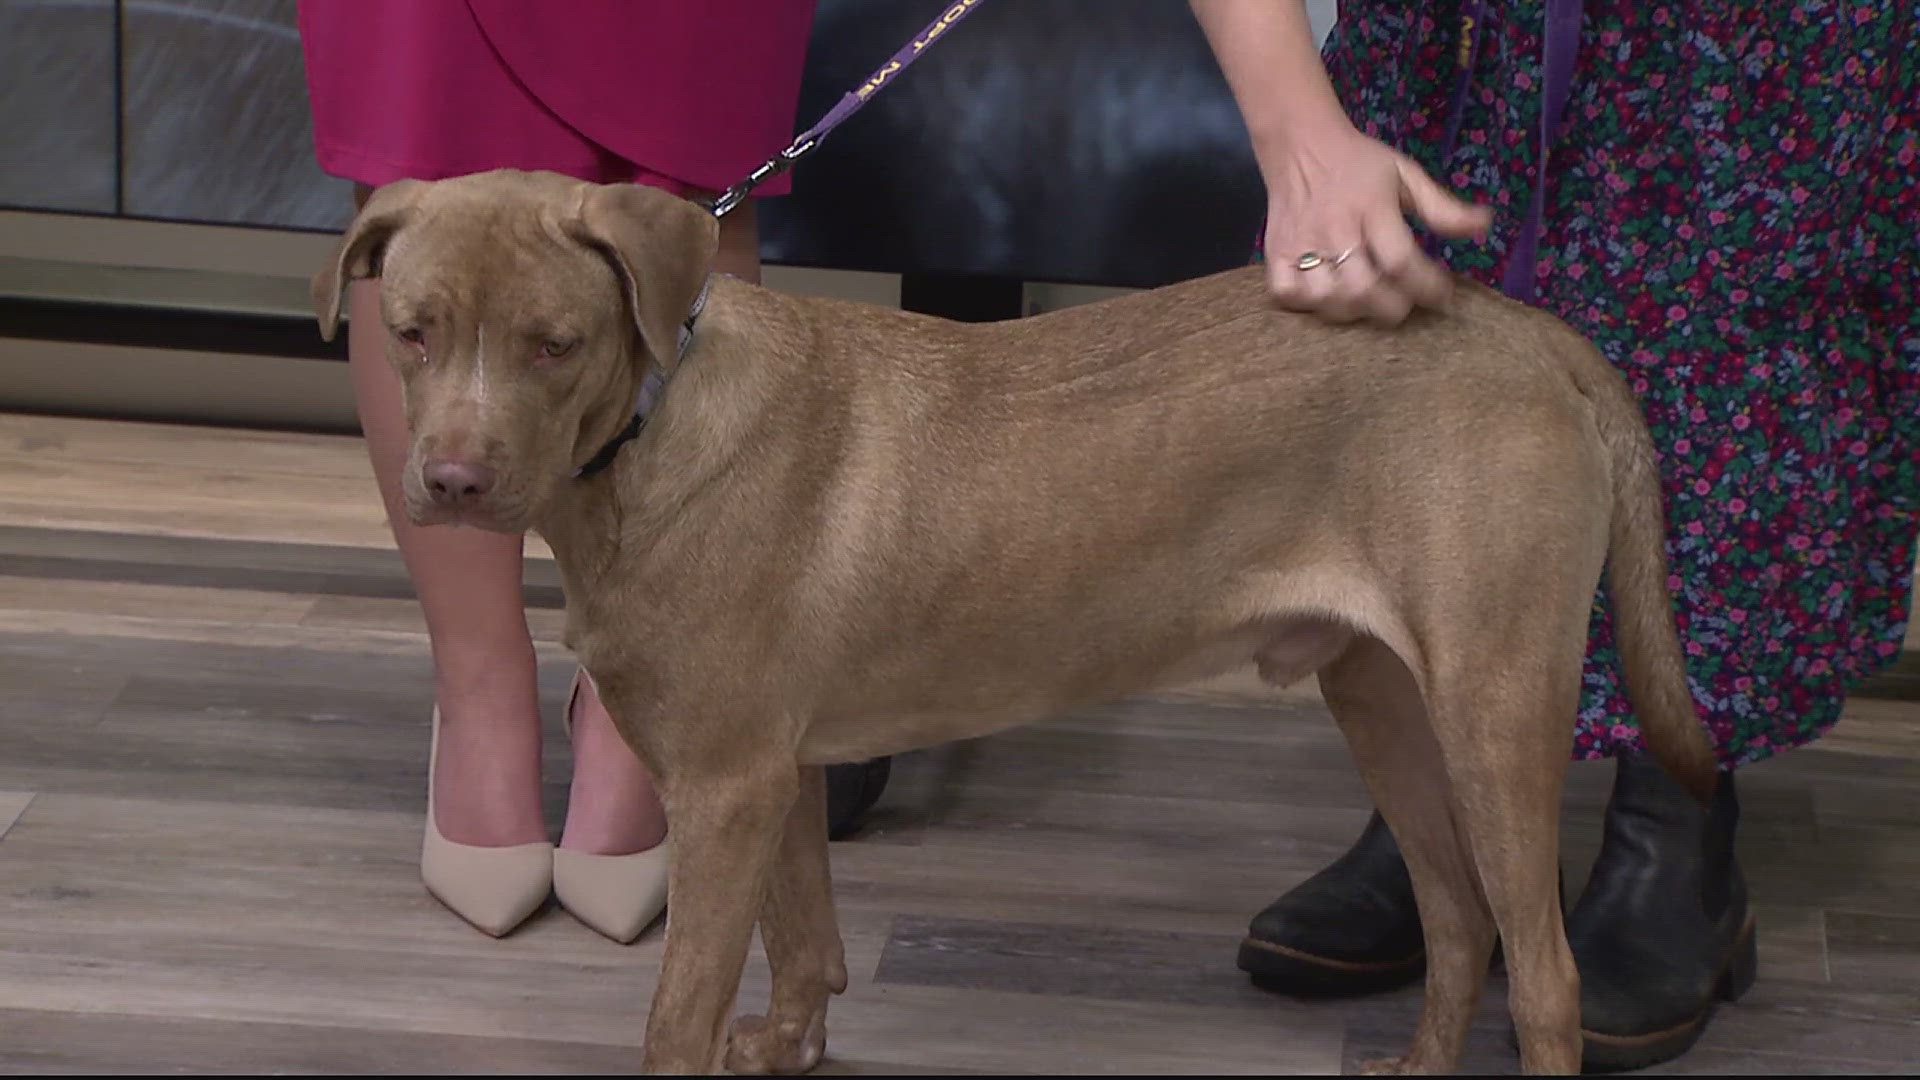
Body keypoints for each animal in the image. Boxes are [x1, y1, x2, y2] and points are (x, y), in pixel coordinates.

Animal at [318, 171, 1728, 1068]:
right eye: (412, 333)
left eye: (554, 344)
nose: (452, 484)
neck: (650, 432)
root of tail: (1527, 331)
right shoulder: (775, 775)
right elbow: (804, 940)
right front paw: (789, 1046)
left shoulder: (721, 785)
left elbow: (676, 1014)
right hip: (1384, 700)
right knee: (1456, 923)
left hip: (1492, 705)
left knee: (1543, 978)